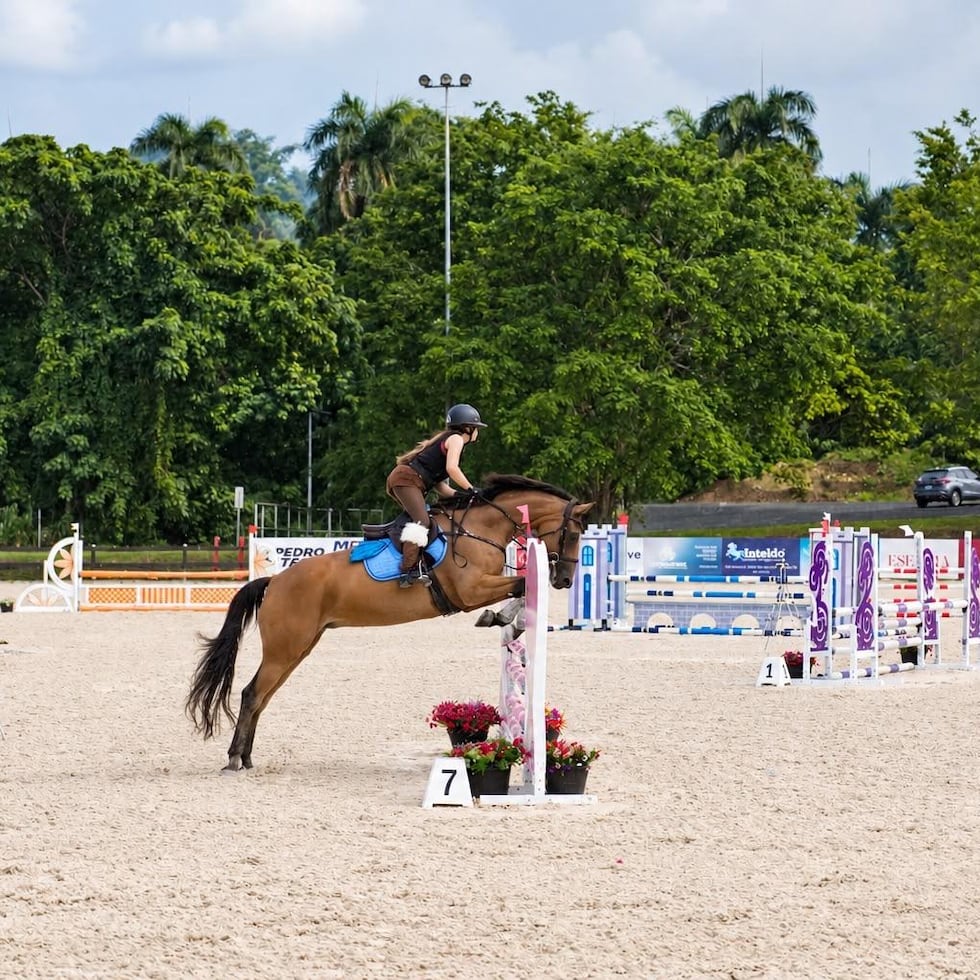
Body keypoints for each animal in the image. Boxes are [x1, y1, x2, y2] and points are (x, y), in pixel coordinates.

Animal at [186, 474, 593, 771]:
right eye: (574, 534)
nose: (563, 580)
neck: (481, 528)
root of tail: (274, 581)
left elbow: (521, 586)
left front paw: (505, 617)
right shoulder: (470, 590)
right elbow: (519, 584)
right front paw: (500, 616)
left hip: (298, 649)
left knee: (262, 696)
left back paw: (247, 757)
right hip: (285, 649)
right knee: (252, 694)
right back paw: (235, 759)